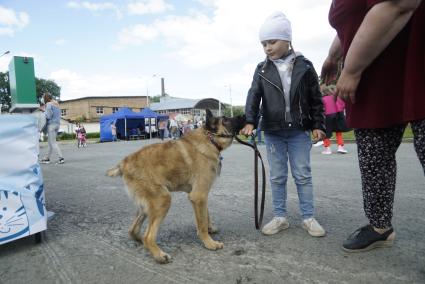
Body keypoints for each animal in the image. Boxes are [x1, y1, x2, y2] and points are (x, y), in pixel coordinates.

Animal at [107, 110, 245, 262]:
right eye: (225, 119)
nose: (244, 116)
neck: (210, 139)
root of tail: (124, 163)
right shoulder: (199, 196)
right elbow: (201, 224)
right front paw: (209, 243)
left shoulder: (201, 196)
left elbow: (206, 215)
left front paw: (210, 229)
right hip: (162, 200)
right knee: (148, 236)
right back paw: (159, 254)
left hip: (147, 206)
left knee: (134, 231)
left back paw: (143, 243)